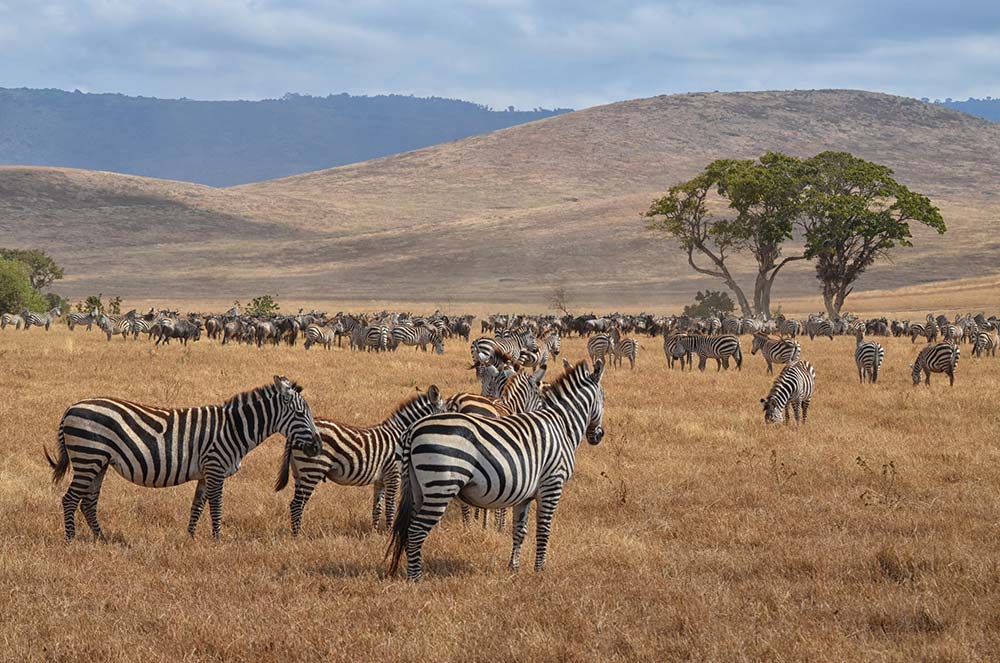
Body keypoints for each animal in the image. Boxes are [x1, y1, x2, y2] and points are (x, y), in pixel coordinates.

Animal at [44, 376, 322, 541]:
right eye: (301, 414)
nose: (318, 446)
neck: (233, 428)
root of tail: (72, 407)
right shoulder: (215, 467)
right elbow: (216, 506)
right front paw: (218, 539)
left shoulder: (205, 472)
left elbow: (197, 506)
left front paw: (190, 537)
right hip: (88, 457)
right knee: (70, 499)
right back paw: (70, 540)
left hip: (98, 462)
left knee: (88, 502)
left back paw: (101, 538)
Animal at [274, 386, 444, 535]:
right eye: (446, 412)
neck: (401, 434)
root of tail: (294, 434)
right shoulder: (393, 475)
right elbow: (390, 507)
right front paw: (388, 533)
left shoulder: (380, 480)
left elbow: (377, 508)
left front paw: (374, 533)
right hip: (312, 470)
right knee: (297, 504)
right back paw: (298, 536)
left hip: (299, 472)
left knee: (295, 504)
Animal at [388, 360, 605, 580]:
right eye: (603, 398)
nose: (598, 436)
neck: (562, 424)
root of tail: (413, 430)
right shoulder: (552, 484)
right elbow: (543, 530)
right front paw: (539, 571)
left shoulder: (526, 494)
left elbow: (519, 530)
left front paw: (514, 567)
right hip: (441, 486)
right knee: (415, 531)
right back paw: (416, 579)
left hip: (417, 489)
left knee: (408, 529)